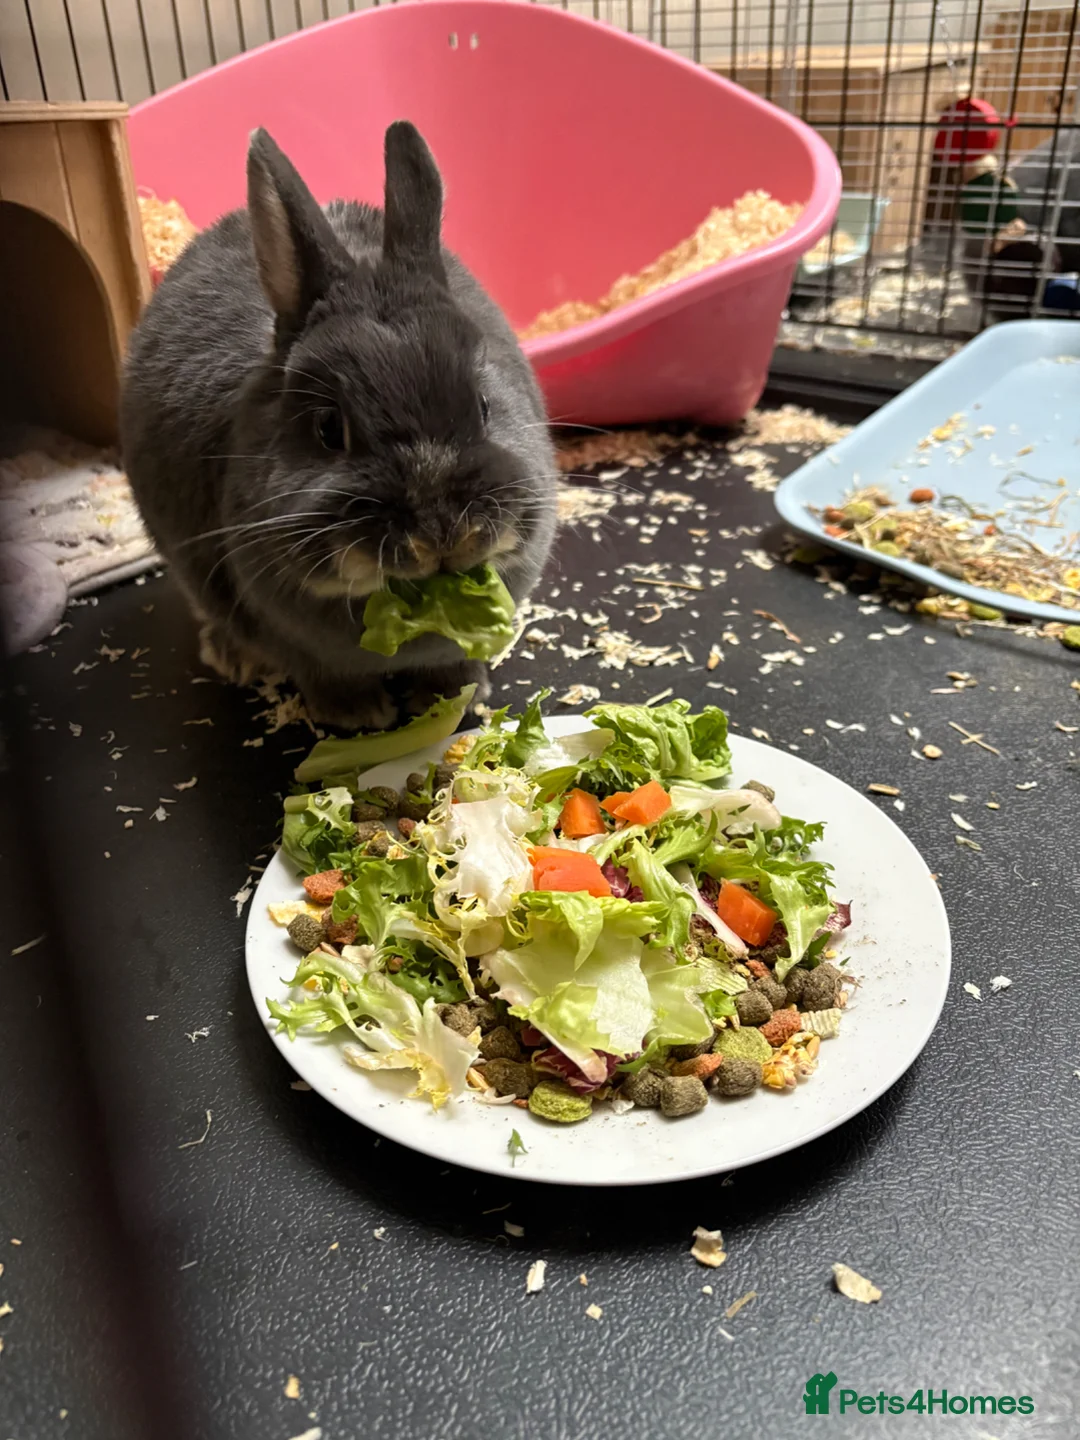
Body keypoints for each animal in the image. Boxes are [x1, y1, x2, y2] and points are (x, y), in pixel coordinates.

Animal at [120, 122, 557, 730]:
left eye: (485, 404)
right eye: (330, 429)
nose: (442, 533)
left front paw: (454, 695)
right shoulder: (293, 635)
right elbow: (323, 673)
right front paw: (358, 715)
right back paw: (233, 656)